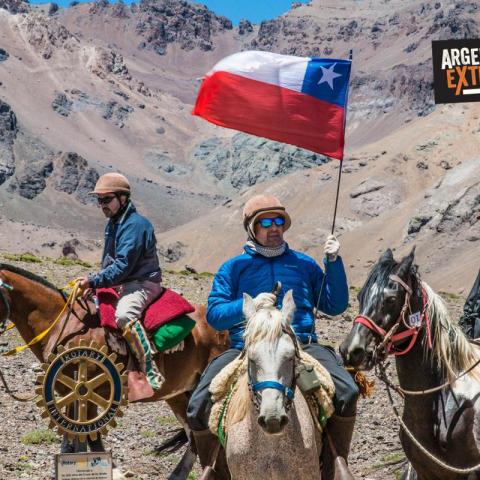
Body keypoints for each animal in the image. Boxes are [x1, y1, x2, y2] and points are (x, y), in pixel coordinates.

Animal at [0, 264, 229, 478]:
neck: (63, 324)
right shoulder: (67, 393)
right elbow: (72, 438)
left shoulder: (89, 391)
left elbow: (91, 437)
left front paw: (114, 470)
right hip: (179, 394)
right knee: (194, 434)